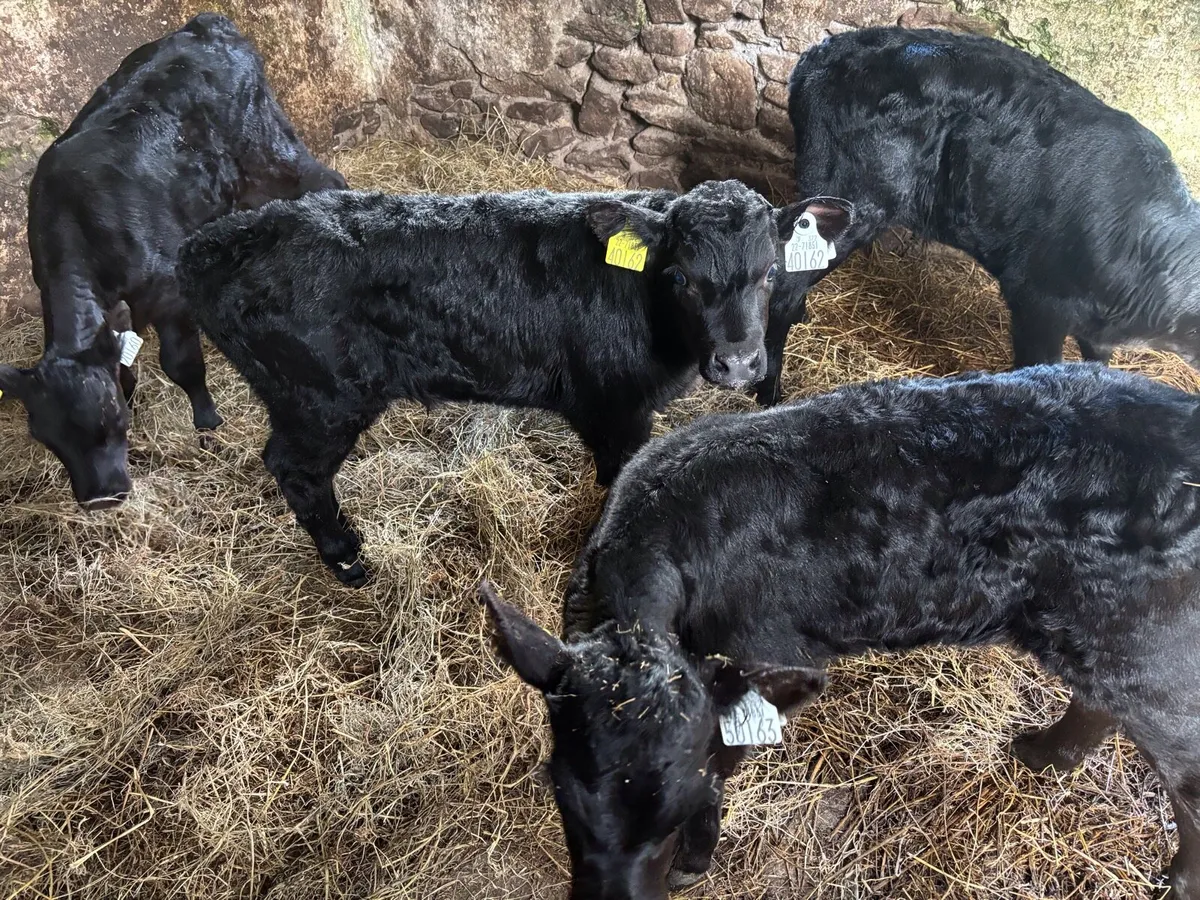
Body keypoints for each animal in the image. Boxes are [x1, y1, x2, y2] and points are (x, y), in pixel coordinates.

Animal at [0, 13, 346, 509]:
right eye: (46, 437)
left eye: (109, 419)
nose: (101, 499)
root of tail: (205, 24)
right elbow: (125, 361)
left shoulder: (167, 294)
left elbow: (181, 364)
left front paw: (207, 422)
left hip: (268, 152)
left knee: (326, 181)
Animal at [178, 182, 846, 586]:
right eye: (679, 275)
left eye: (770, 272)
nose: (738, 362)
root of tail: (214, 242)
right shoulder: (617, 406)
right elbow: (623, 483)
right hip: (320, 398)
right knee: (295, 469)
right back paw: (349, 560)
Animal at [485, 363, 1200, 900]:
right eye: (561, 795)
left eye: (678, 809)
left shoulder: (760, 665)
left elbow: (723, 766)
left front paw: (695, 860)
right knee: (1098, 702)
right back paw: (1046, 755)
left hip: (1157, 667)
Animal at [754, 26, 1200, 407]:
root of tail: (819, 54)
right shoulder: (1036, 300)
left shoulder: (1096, 332)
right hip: (854, 198)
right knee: (787, 281)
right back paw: (769, 392)